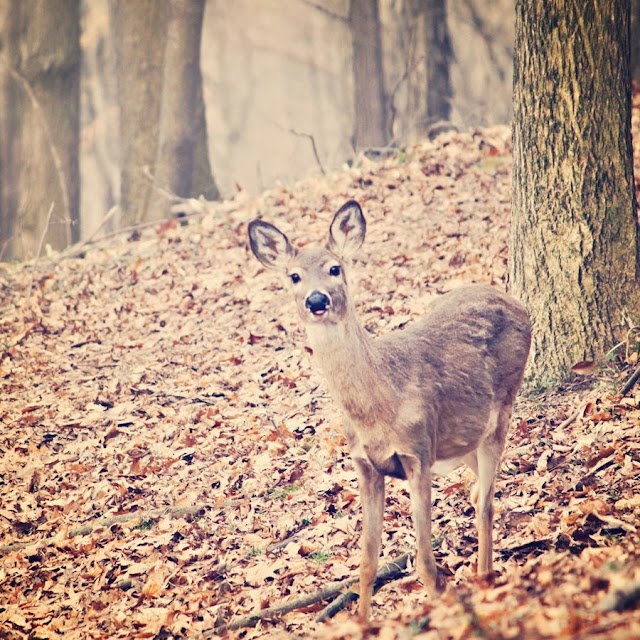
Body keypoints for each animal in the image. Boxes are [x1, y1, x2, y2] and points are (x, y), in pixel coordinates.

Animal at [248, 200, 532, 620]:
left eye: (335, 268)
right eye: (294, 276)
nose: (317, 300)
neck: (378, 405)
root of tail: (518, 303)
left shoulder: (418, 452)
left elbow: (425, 564)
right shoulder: (366, 466)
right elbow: (366, 562)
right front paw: (362, 622)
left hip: (502, 407)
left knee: (486, 504)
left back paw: (486, 580)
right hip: (462, 438)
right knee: (478, 490)